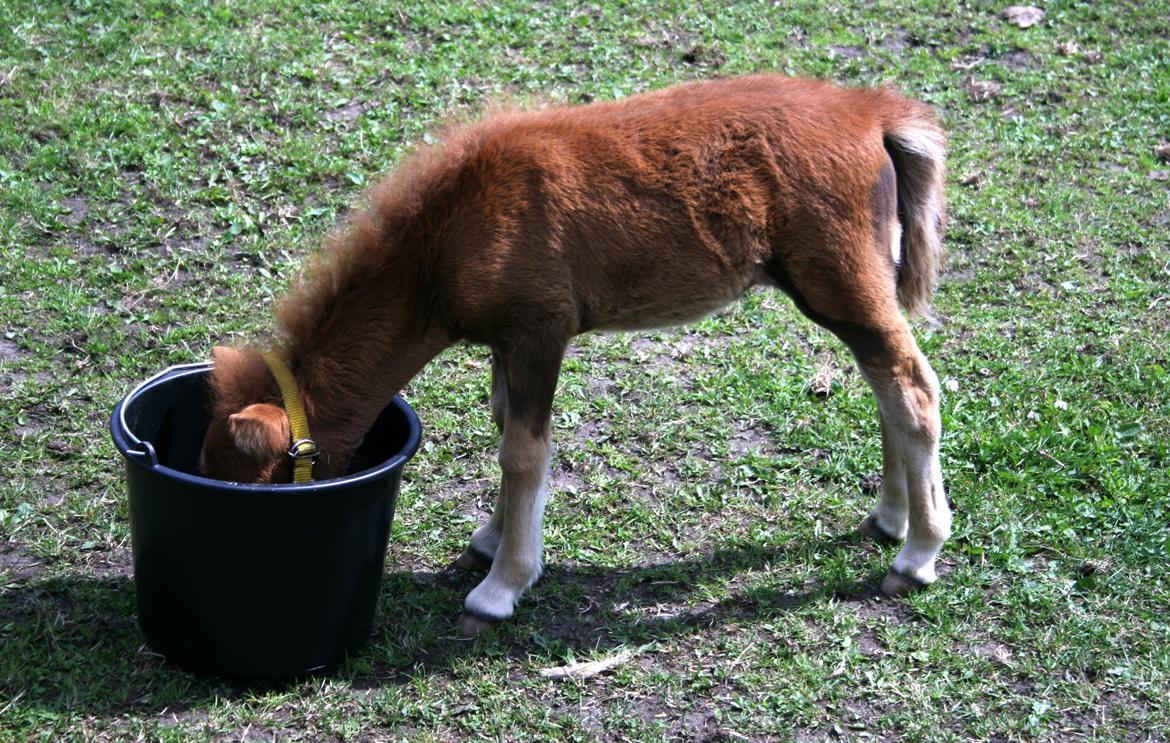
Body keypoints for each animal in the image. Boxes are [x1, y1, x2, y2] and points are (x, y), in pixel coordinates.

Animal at [201, 75, 950, 638]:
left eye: (260, 482)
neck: (451, 235)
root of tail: (873, 114)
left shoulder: (540, 332)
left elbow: (524, 452)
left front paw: (501, 586)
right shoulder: (505, 343)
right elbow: (505, 428)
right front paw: (490, 538)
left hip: (840, 285)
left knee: (913, 389)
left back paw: (918, 553)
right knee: (885, 388)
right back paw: (889, 518)